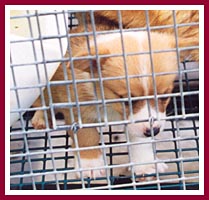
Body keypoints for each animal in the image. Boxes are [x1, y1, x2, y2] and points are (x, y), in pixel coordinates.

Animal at [31, 30, 179, 179]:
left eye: (164, 96)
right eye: (126, 100)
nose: (154, 131)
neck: (109, 105)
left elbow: (140, 142)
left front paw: (145, 164)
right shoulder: (78, 114)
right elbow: (87, 137)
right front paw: (90, 165)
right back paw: (42, 118)